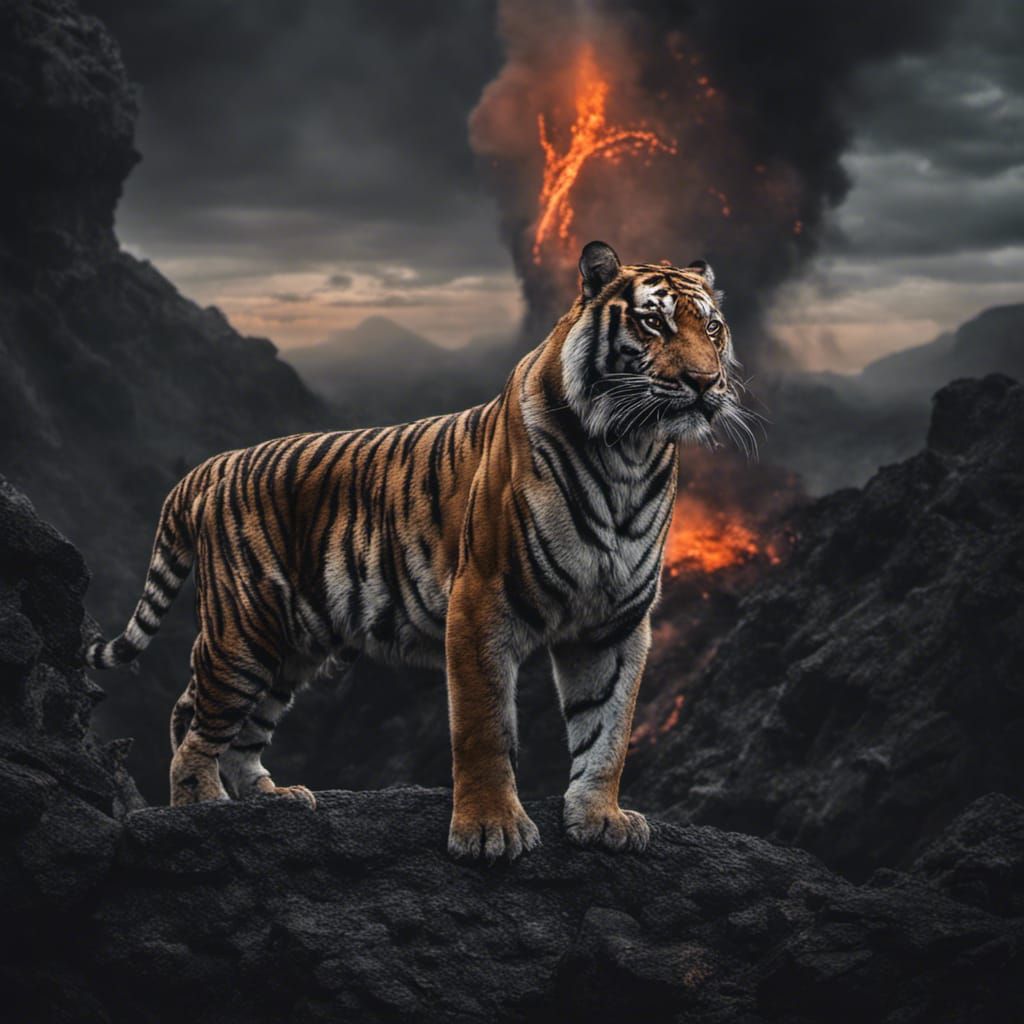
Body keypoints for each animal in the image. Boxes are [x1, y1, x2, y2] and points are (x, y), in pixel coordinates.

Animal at [84, 241, 748, 861]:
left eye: (712, 327)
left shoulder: (615, 624)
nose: (704, 382)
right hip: (245, 630)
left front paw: (600, 818)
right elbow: (484, 728)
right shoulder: (481, 601)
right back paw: (204, 809)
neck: (627, 455)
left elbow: (608, 729)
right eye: (654, 322)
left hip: (290, 646)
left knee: (223, 723)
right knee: (197, 726)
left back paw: (275, 799)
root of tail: (214, 465)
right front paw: (490, 831)